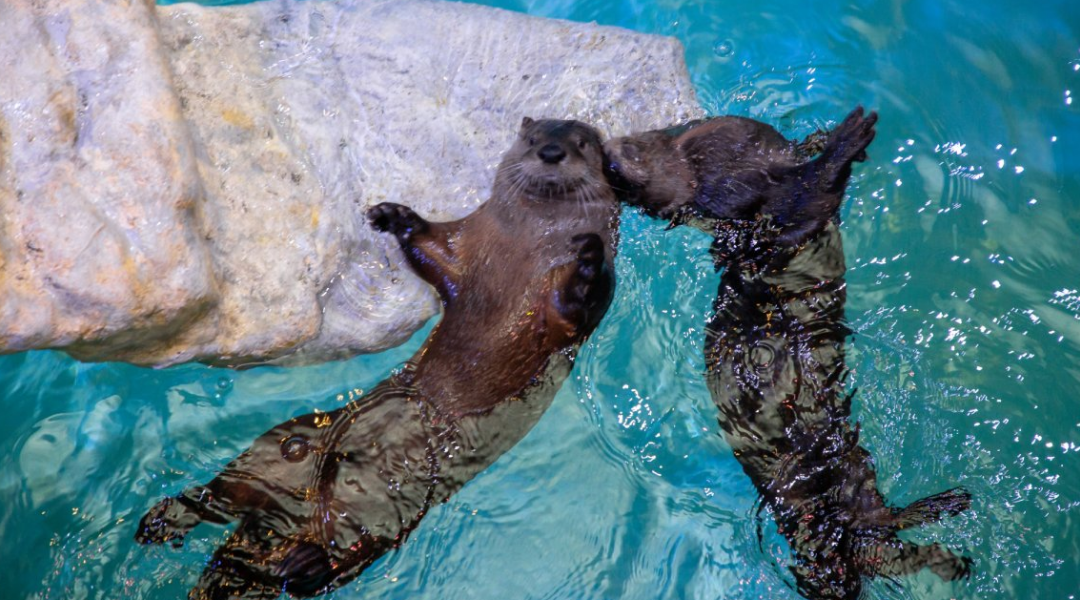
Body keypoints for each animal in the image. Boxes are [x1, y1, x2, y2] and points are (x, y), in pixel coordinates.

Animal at [135, 118, 619, 599]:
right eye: (533, 138)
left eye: (581, 143)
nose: (552, 152)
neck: (523, 252)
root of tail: (287, 524)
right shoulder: (463, 249)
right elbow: (428, 249)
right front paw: (393, 216)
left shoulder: (562, 317)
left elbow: (583, 303)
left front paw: (588, 259)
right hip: (285, 443)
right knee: (225, 491)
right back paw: (164, 521)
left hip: (383, 525)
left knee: (323, 565)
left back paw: (296, 561)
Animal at [606, 108, 972, 598]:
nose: (611, 156)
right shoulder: (769, 210)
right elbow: (809, 195)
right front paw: (849, 135)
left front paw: (827, 138)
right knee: (879, 542)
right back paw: (949, 543)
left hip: (854, 475)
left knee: (881, 534)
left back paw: (947, 519)